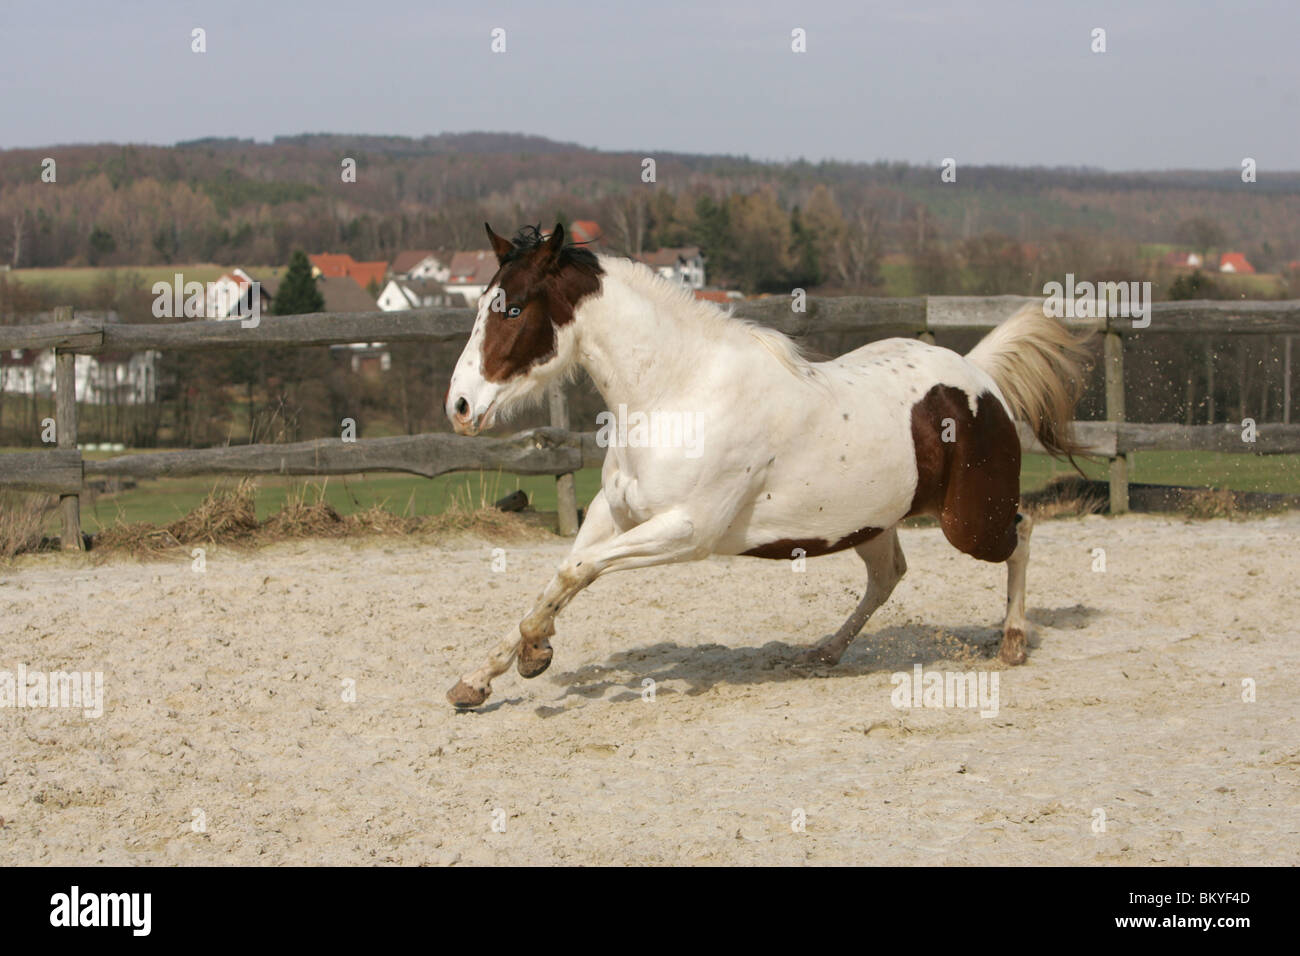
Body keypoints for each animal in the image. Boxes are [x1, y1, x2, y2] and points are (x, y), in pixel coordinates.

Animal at [441, 221, 1092, 707]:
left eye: (513, 310)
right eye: (479, 306)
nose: (460, 407)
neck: (678, 391)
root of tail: (977, 377)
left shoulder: (688, 532)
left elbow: (575, 571)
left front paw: (535, 653)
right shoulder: (614, 515)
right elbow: (561, 574)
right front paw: (478, 680)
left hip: (970, 522)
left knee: (1024, 530)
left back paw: (1012, 642)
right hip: (869, 522)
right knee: (889, 575)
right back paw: (824, 652)